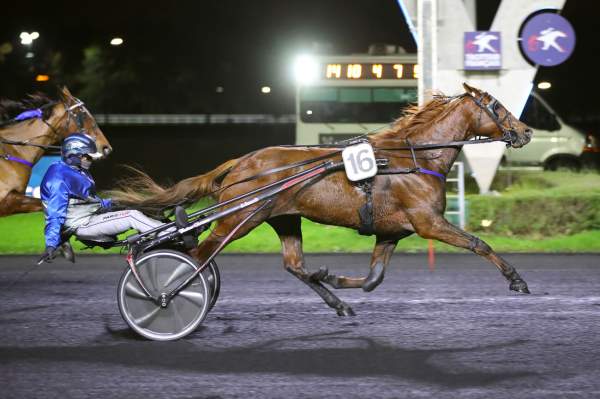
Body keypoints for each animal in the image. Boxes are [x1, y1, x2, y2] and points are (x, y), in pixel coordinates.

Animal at [112, 83, 536, 316]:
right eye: (497, 106)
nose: (527, 131)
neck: (414, 158)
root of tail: (241, 162)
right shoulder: (428, 222)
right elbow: (479, 243)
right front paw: (517, 280)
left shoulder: (391, 232)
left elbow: (373, 279)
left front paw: (333, 277)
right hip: (238, 219)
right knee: (196, 258)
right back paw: (163, 296)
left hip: (283, 217)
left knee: (293, 264)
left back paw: (334, 299)